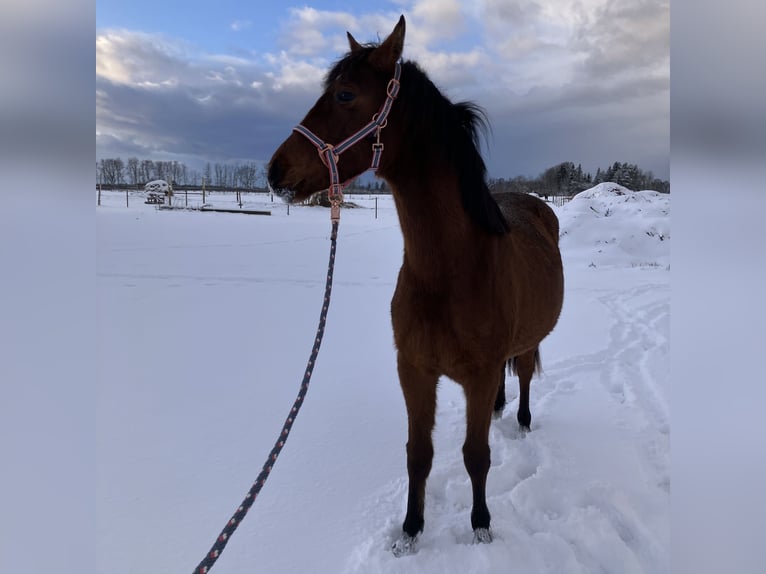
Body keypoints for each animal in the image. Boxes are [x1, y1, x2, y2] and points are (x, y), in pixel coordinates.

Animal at [268, 15, 564, 556]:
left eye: (344, 94)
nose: (275, 170)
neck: (450, 273)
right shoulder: (413, 370)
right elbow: (417, 453)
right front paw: (410, 531)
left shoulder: (478, 373)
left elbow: (476, 455)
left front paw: (481, 526)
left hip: (529, 341)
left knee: (526, 376)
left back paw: (522, 420)